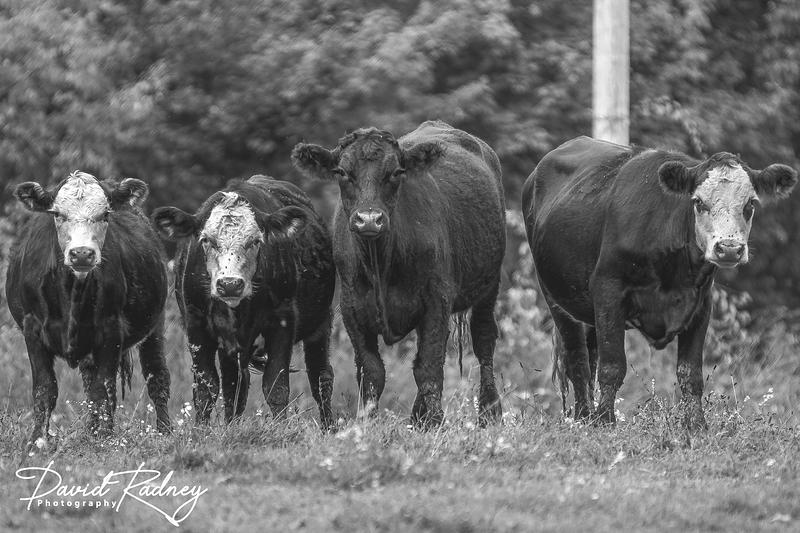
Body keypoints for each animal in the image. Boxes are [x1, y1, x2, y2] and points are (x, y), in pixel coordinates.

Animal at [6, 171, 171, 448]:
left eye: (105, 214)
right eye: (57, 214)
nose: (82, 254)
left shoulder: (112, 329)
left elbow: (102, 391)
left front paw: (103, 439)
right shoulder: (32, 328)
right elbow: (45, 388)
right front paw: (37, 441)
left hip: (155, 325)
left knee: (157, 377)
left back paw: (164, 432)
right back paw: (90, 432)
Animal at [152, 176, 335, 428]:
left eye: (256, 241)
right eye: (206, 240)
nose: (230, 284)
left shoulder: (283, 320)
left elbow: (276, 385)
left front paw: (281, 429)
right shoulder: (196, 324)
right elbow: (207, 387)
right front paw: (202, 430)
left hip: (321, 324)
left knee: (321, 377)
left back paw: (329, 428)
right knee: (236, 383)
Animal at [292, 120, 506, 427]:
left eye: (396, 172)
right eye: (342, 172)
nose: (369, 219)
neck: (381, 263)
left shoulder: (436, 300)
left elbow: (428, 368)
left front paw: (436, 423)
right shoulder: (351, 306)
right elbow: (372, 372)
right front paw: (366, 422)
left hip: (489, 285)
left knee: (484, 340)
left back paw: (490, 412)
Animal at [522, 136, 797, 430]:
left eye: (751, 204)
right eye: (698, 202)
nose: (729, 249)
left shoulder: (701, 304)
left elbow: (690, 373)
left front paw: (696, 425)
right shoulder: (608, 291)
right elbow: (612, 365)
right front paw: (605, 422)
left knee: (590, 355)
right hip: (557, 299)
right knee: (578, 361)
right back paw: (585, 416)